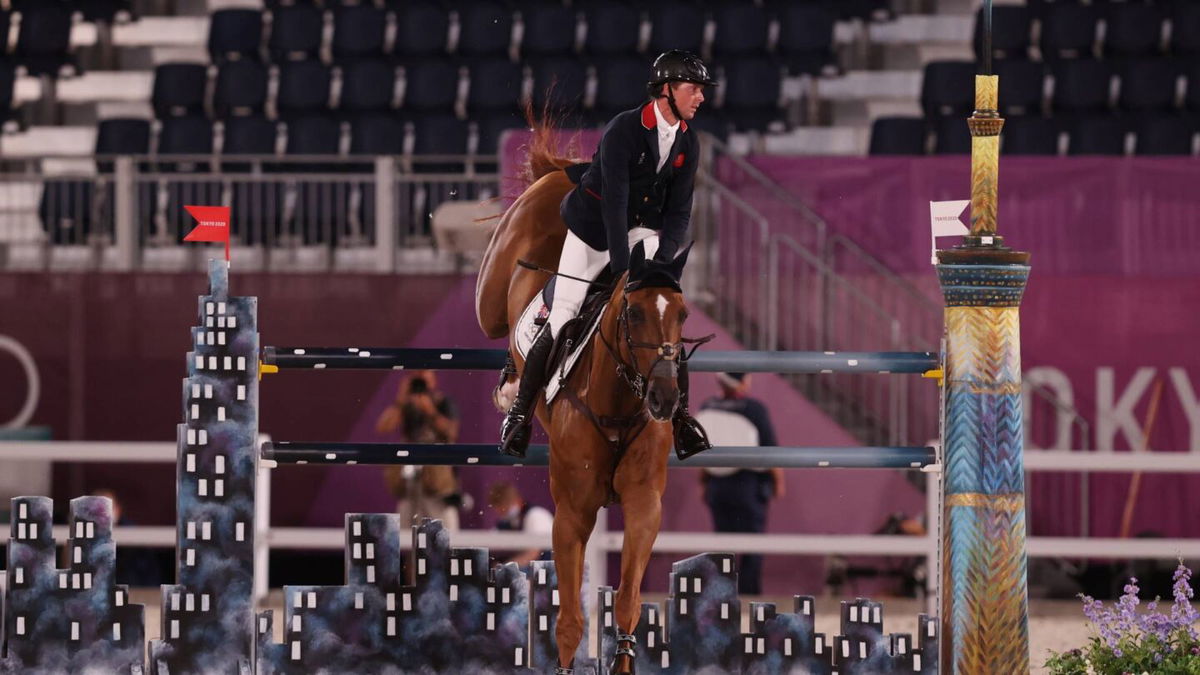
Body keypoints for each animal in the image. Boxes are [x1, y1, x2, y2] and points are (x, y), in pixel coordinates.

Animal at [475, 118, 696, 667]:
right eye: (632, 313)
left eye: (682, 316)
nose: (664, 400)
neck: (618, 404)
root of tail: (561, 174)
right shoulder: (572, 513)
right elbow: (571, 622)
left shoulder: (643, 504)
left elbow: (628, 604)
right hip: (493, 292)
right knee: (506, 324)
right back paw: (510, 396)